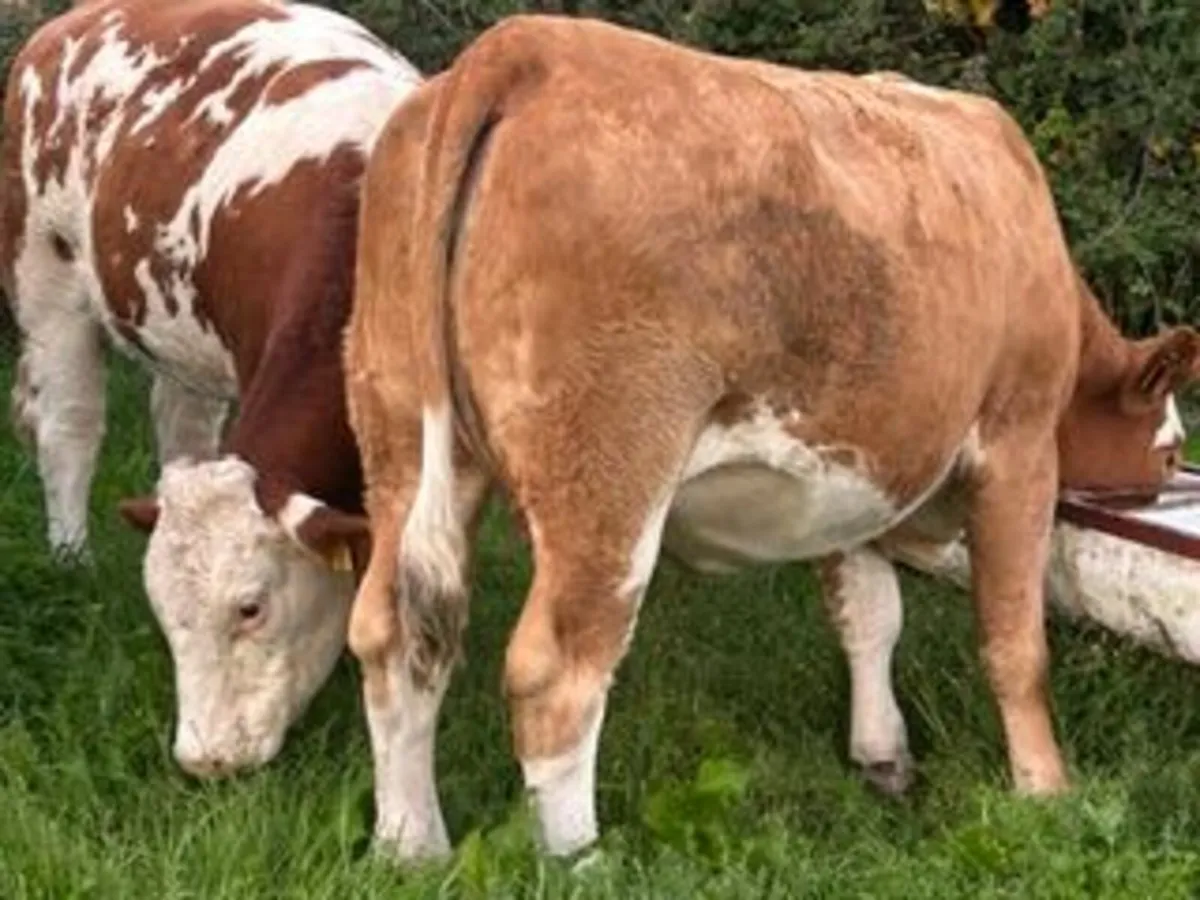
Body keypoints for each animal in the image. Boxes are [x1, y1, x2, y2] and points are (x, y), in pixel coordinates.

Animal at [0, 0, 421, 775]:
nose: (204, 760)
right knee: (70, 428)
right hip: (44, 275)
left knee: (181, 424)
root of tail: (63, 25)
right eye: (165, 618)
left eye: (250, 607)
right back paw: (71, 558)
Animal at [334, 16, 1199, 860]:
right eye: (1167, 449)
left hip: (401, 435)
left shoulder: (853, 474)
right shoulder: (1019, 443)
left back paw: (410, 845)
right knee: (558, 671)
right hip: (607, 474)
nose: (1166, 480)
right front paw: (1046, 790)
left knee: (392, 636)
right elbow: (1016, 643)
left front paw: (882, 755)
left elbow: (869, 615)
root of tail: (525, 45)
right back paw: (580, 860)